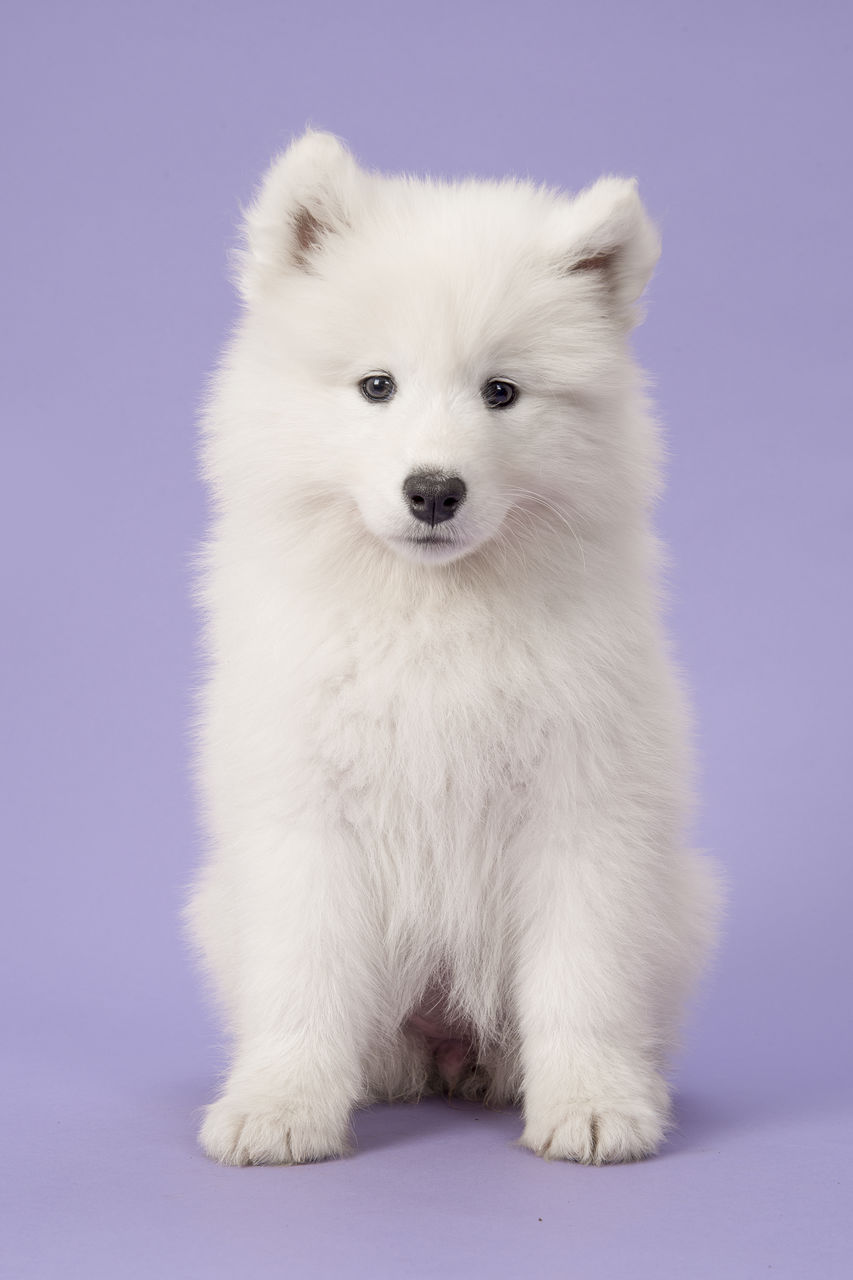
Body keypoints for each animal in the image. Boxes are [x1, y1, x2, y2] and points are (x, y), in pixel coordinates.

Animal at [184, 132, 717, 1172]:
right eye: (376, 386)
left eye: (500, 392)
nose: (433, 490)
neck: (432, 612)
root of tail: (442, 1045)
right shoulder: (307, 814)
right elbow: (303, 977)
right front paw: (280, 1108)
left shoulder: (579, 810)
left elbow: (581, 978)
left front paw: (592, 1105)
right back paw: (388, 1068)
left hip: (679, 905)